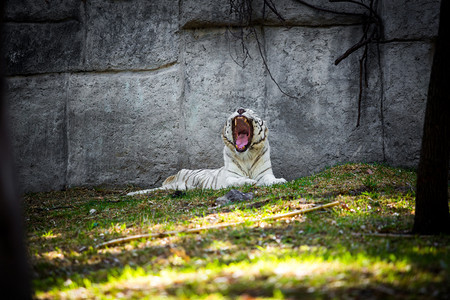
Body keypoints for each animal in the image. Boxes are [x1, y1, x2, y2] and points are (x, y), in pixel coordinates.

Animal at [126, 109, 286, 196]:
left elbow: (269, 179)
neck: (246, 155)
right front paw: (249, 181)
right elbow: (236, 180)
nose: (240, 109)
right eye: (236, 110)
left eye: (253, 112)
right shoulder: (228, 178)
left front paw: (279, 181)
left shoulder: (265, 174)